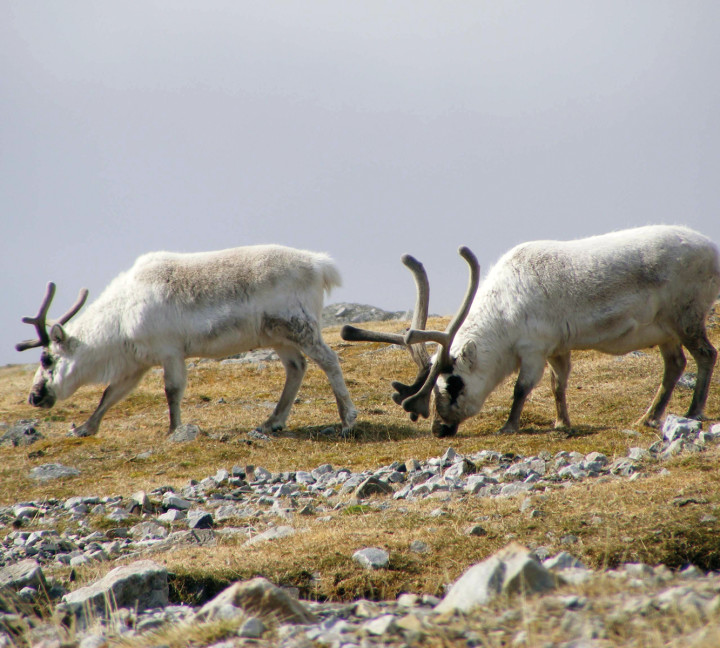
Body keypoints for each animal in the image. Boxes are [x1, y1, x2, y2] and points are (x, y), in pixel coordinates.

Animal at [16, 245, 357, 437]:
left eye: (47, 358)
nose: (34, 396)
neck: (119, 320)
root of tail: (321, 265)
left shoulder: (170, 352)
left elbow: (172, 391)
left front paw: (173, 429)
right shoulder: (137, 363)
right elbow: (110, 394)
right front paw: (84, 428)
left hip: (300, 326)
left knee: (329, 360)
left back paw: (347, 419)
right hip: (277, 335)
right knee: (296, 367)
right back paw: (271, 422)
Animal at [341, 225, 720, 437]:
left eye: (453, 384)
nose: (439, 429)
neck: (502, 316)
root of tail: (714, 249)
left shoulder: (534, 348)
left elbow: (521, 389)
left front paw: (509, 425)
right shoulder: (558, 348)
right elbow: (558, 385)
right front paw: (562, 423)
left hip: (687, 317)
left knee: (706, 354)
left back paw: (692, 412)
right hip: (665, 331)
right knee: (675, 365)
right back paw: (649, 416)